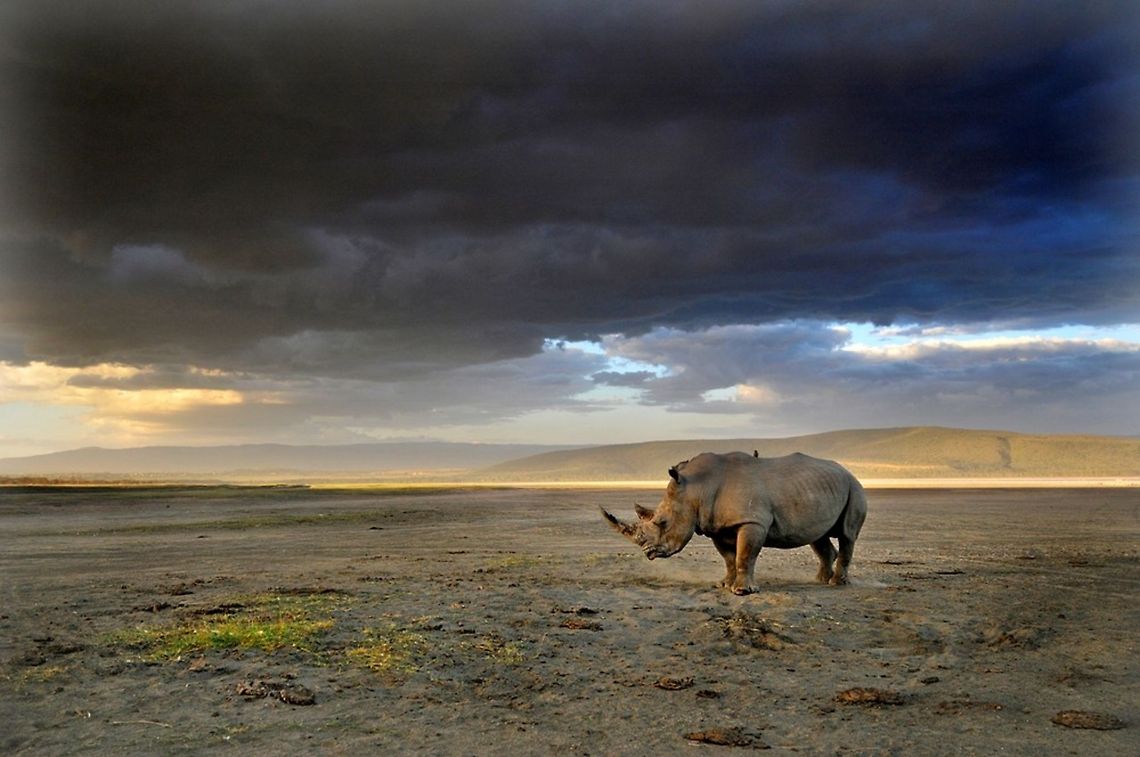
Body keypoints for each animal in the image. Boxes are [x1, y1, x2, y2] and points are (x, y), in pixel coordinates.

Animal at [601, 451, 867, 595]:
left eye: (662, 522)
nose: (648, 552)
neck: (695, 489)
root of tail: (848, 472)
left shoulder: (753, 522)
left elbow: (744, 556)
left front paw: (742, 592)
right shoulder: (717, 527)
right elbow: (729, 558)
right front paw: (724, 585)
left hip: (854, 488)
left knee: (847, 535)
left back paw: (837, 583)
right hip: (821, 489)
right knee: (817, 537)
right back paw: (820, 581)